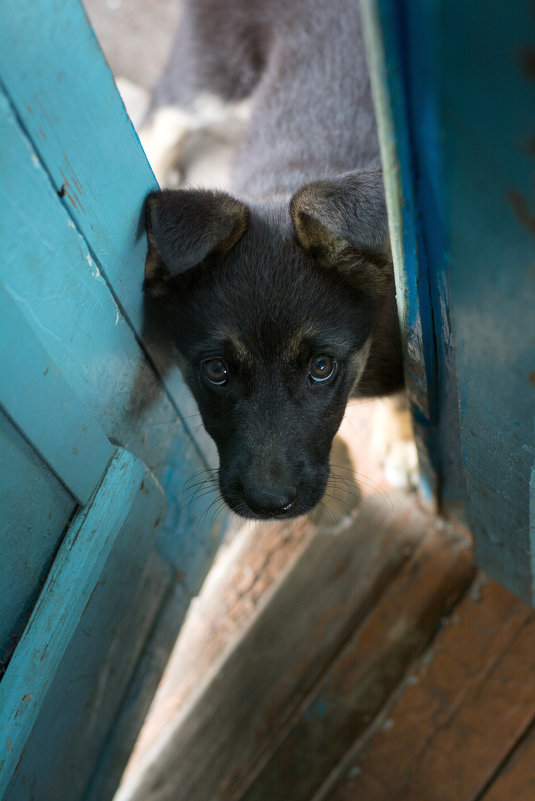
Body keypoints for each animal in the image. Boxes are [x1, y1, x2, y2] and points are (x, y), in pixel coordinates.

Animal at [142, 0, 406, 520]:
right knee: (167, 106)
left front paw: (404, 439)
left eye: (321, 367)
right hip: (217, 71)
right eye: (216, 371)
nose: (268, 505)